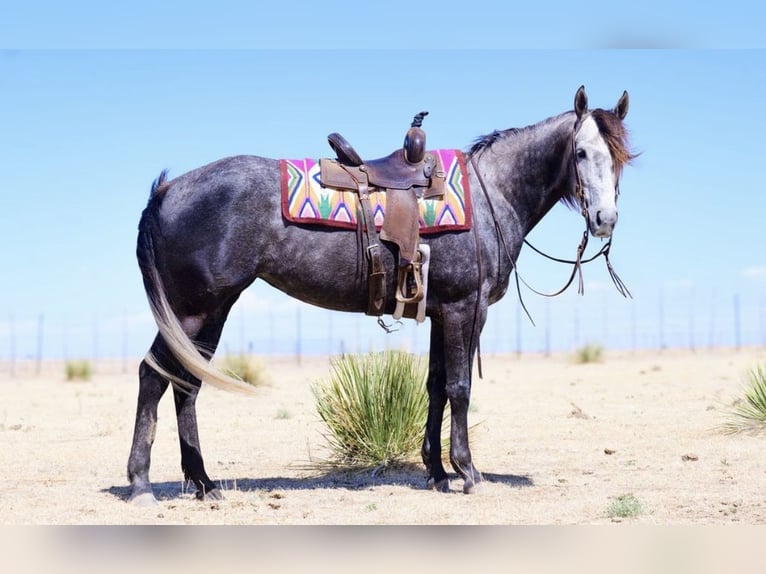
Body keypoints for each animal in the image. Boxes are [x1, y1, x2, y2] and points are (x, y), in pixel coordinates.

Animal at [127, 86, 635, 505]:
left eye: (621, 158)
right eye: (581, 152)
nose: (605, 219)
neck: (494, 192)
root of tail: (166, 189)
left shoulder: (440, 312)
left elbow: (435, 386)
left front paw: (437, 472)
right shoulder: (465, 309)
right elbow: (460, 388)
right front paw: (467, 472)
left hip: (212, 310)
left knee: (186, 385)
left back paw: (203, 483)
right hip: (194, 311)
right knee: (154, 377)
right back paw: (141, 484)